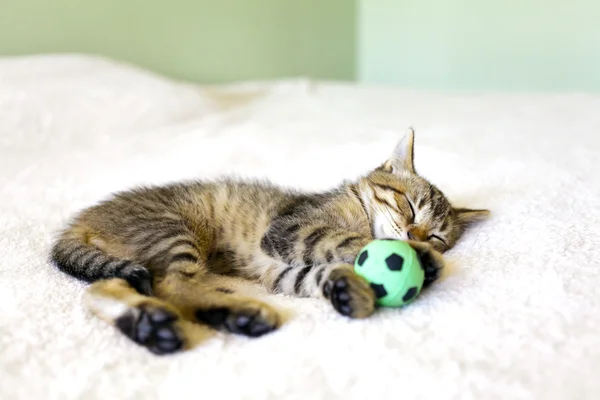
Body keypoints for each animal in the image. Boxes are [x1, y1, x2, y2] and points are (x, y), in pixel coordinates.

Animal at [50, 128, 488, 354]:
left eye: (437, 233)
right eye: (410, 207)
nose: (416, 235)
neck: (358, 209)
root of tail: (81, 220)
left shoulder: (280, 268)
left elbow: (317, 273)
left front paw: (347, 290)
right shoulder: (289, 230)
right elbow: (344, 241)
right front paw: (415, 256)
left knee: (107, 287)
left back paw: (157, 324)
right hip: (173, 231)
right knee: (173, 284)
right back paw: (232, 311)